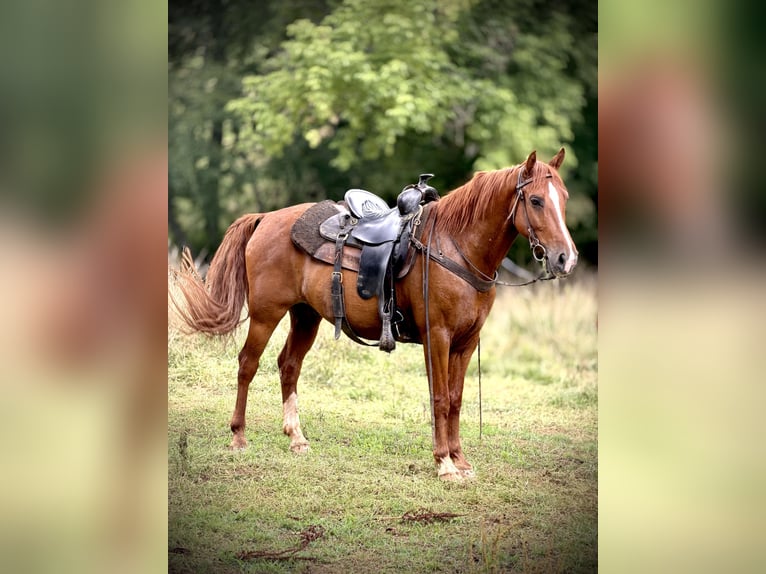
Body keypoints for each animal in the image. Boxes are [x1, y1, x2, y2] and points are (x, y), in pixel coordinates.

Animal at [171, 149, 578, 481]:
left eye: (564, 199)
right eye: (536, 200)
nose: (566, 258)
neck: (456, 247)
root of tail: (266, 218)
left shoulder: (466, 342)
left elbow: (457, 398)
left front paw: (460, 460)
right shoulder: (438, 336)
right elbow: (440, 398)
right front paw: (444, 463)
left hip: (306, 316)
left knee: (288, 366)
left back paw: (296, 438)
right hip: (265, 314)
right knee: (247, 364)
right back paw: (239, 436)